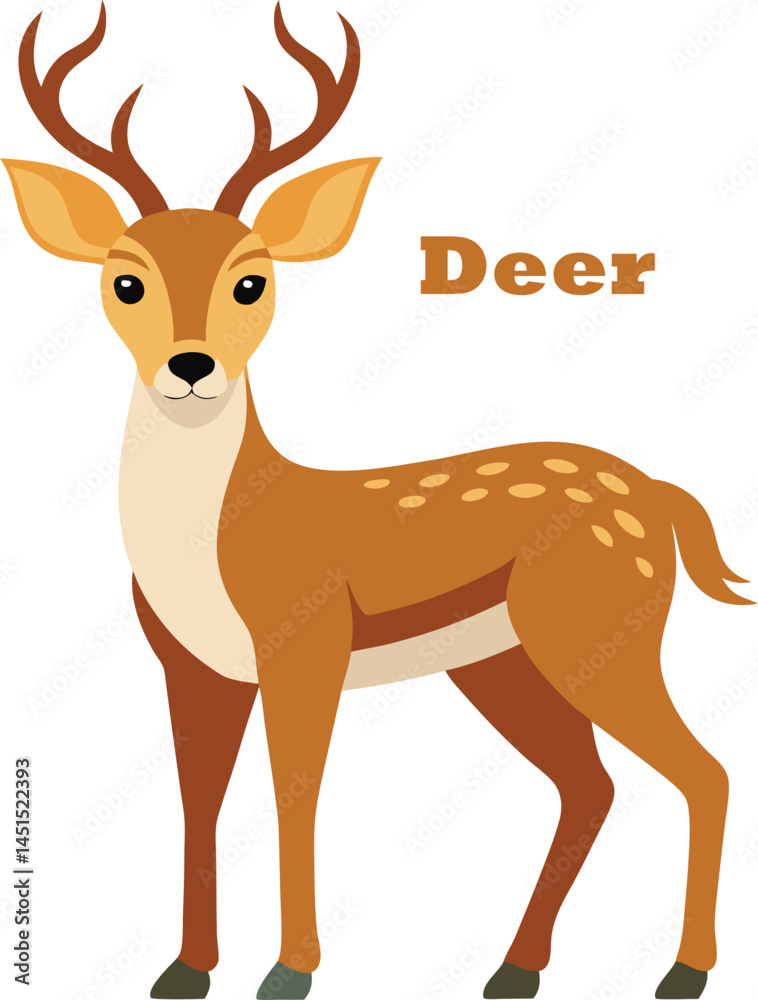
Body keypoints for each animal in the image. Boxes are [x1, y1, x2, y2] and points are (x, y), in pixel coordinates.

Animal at [3, 4, 752, 999]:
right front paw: (185, 970)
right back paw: (515, 971)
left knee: (704, 772)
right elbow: (199, 801)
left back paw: (683, 971)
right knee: (590, 784)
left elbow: (294, 795)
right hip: (503, 661)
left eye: (253, 279)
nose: (191, 365)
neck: (214, 541)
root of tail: (660, 494)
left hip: (601, 632)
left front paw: (288, 972)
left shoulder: (305, 642)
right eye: (124, 280)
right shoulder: (188, 665)